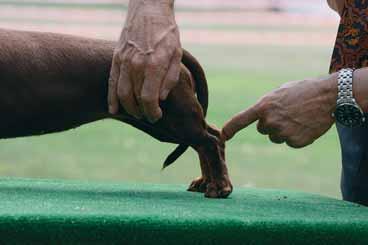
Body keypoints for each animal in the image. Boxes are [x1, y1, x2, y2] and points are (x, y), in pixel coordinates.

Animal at [0, 28, 231, 197]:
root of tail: (176, 58)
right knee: (212, 136)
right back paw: (206, 182)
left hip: (172, 118)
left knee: (208, 141)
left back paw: (219, 187)